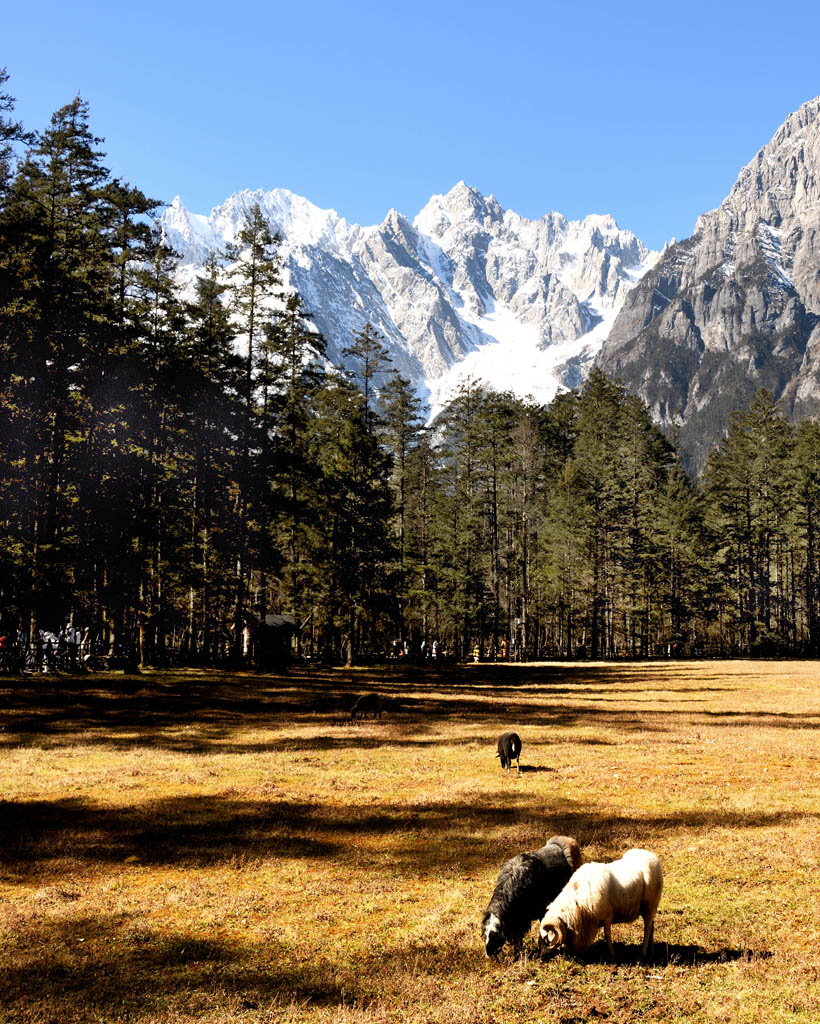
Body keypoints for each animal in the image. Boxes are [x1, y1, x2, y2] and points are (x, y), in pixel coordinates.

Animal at [532, 847, 663, 958]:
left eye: (546, 938)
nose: (541, 956)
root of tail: (653, 857)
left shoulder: (607, 916)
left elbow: (607, 935)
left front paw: (612, 955)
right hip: (648, 908)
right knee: (652, 925)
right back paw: (651, 950)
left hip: (649, 905)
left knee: (647, 928)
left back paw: (643, 953)